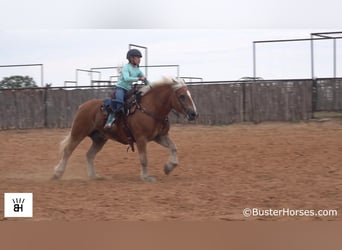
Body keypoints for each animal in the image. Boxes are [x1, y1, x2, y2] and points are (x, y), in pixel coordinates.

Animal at [52, 76, 199, 182]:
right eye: (182, 96)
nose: (194, 114)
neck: (150, 108)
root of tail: (83, 106)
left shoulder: (159, 137)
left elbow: (174, 148)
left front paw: (168, 167)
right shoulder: (141, 139)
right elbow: (144, 158)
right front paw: (146, 177)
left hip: (99, 138)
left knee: (89, 155)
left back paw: (94, 176)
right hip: (78, 132)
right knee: (67, 151)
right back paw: (57, 174)